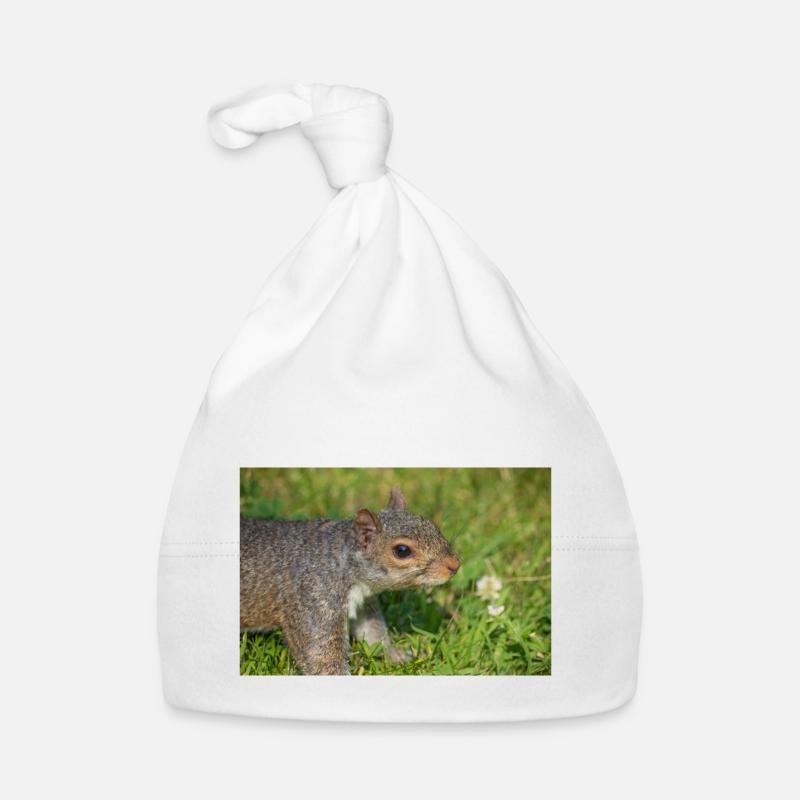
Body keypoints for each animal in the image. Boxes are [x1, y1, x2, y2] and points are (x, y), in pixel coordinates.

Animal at [240, 486, 461, 675]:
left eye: (431, 525)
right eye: (402, 550)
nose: (454, 564)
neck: (342, 560)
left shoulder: (363, 603)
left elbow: (373, 633)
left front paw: (398, 656)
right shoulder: (312, 598)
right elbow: (320, 657)